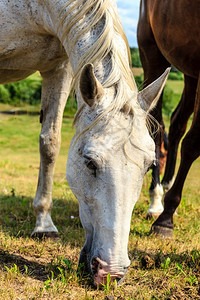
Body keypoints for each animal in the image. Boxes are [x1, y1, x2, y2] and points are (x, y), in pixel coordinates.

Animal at [0, 0, 169, 286]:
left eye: (149, 166)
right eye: (89, 162)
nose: (111, 272)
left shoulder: (59, 68)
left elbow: (50, 142)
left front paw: (44, 224)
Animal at [138, 0, 200, 238]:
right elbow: (193, 144)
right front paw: (165, 221)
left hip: (190, 71)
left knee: (177, 123)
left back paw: (166, 185)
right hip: (152, 55)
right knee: (157, 130)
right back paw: (157, 201)